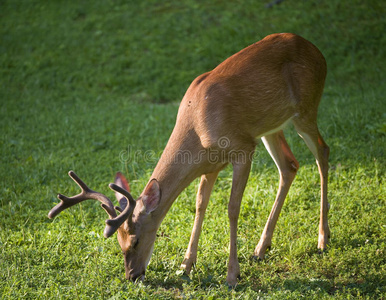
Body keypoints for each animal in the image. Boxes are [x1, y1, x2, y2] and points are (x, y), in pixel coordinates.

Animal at [48, 32, 328, 286]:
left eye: (135, 240)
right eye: (119, 242)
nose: (132, 276)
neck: (197, 126)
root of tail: (318, 51)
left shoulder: (243, 148)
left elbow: (232, 208)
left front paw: (232, 275)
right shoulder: (211, 164)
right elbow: (200, 205)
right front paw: (186, 265)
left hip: (306, 109)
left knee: (322, 152)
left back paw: (322, 240)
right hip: (271, 126)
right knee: (289, 165)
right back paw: (261, 248)